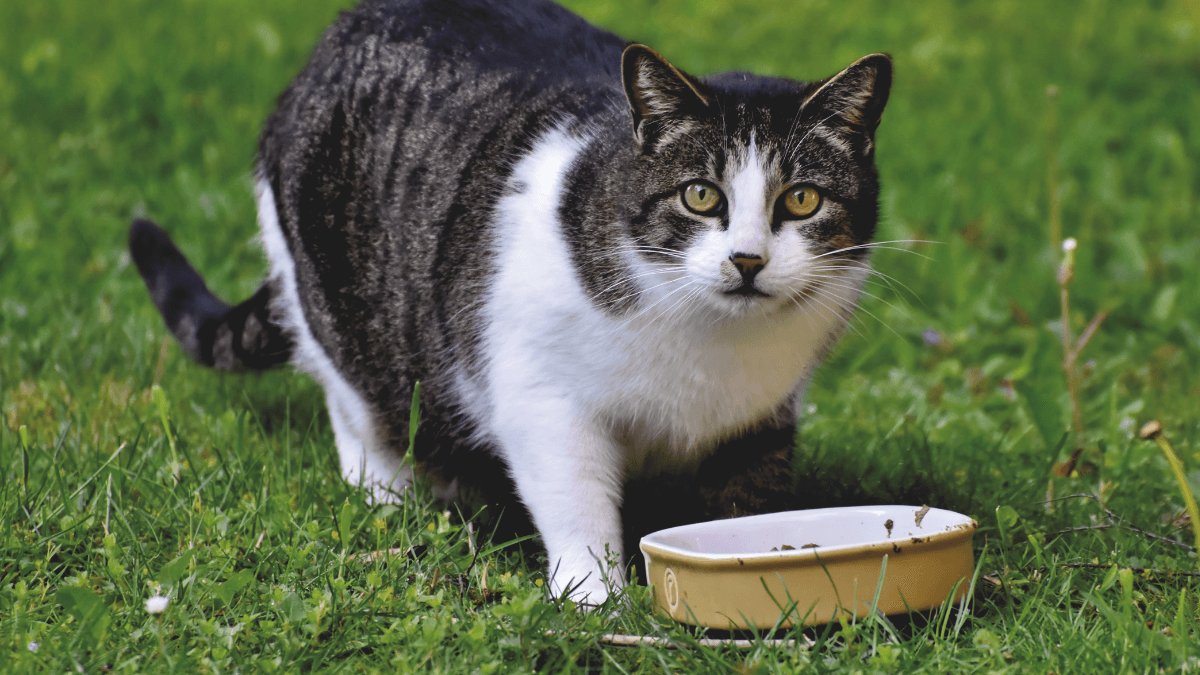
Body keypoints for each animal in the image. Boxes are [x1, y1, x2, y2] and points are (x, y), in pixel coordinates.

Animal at [129, 0, 892, 605]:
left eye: (803, 200)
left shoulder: (764, 414)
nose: (748, 260)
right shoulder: (542, 395)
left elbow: (743, 503)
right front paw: (597, 598)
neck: (711, 343)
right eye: (701, 195)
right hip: (334, 303)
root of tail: (332, 40)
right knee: (355, 405)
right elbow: (575, 499)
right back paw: (392, 493)